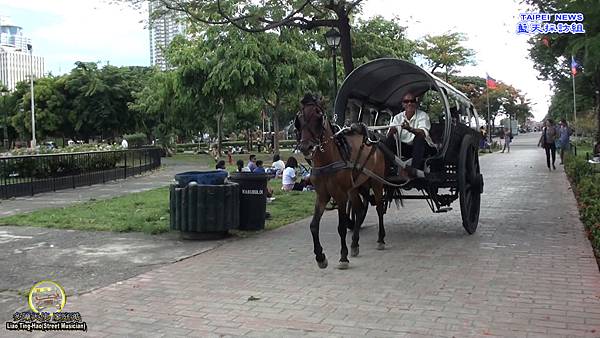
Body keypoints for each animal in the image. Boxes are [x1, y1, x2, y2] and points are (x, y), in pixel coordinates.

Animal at [296, 100, 390, 270]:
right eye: (299, 118)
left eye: (318, 116)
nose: (306, 147)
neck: (328, 160)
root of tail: (375, 140)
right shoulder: (322, 195)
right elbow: (313, 226)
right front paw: (320, 257)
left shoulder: (340, 196)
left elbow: (341, 226)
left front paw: (343, 257)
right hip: (354, 187)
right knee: (359, 210)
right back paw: (355, 244)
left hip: (376, 182)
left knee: (379, 208)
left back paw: (380, 239)